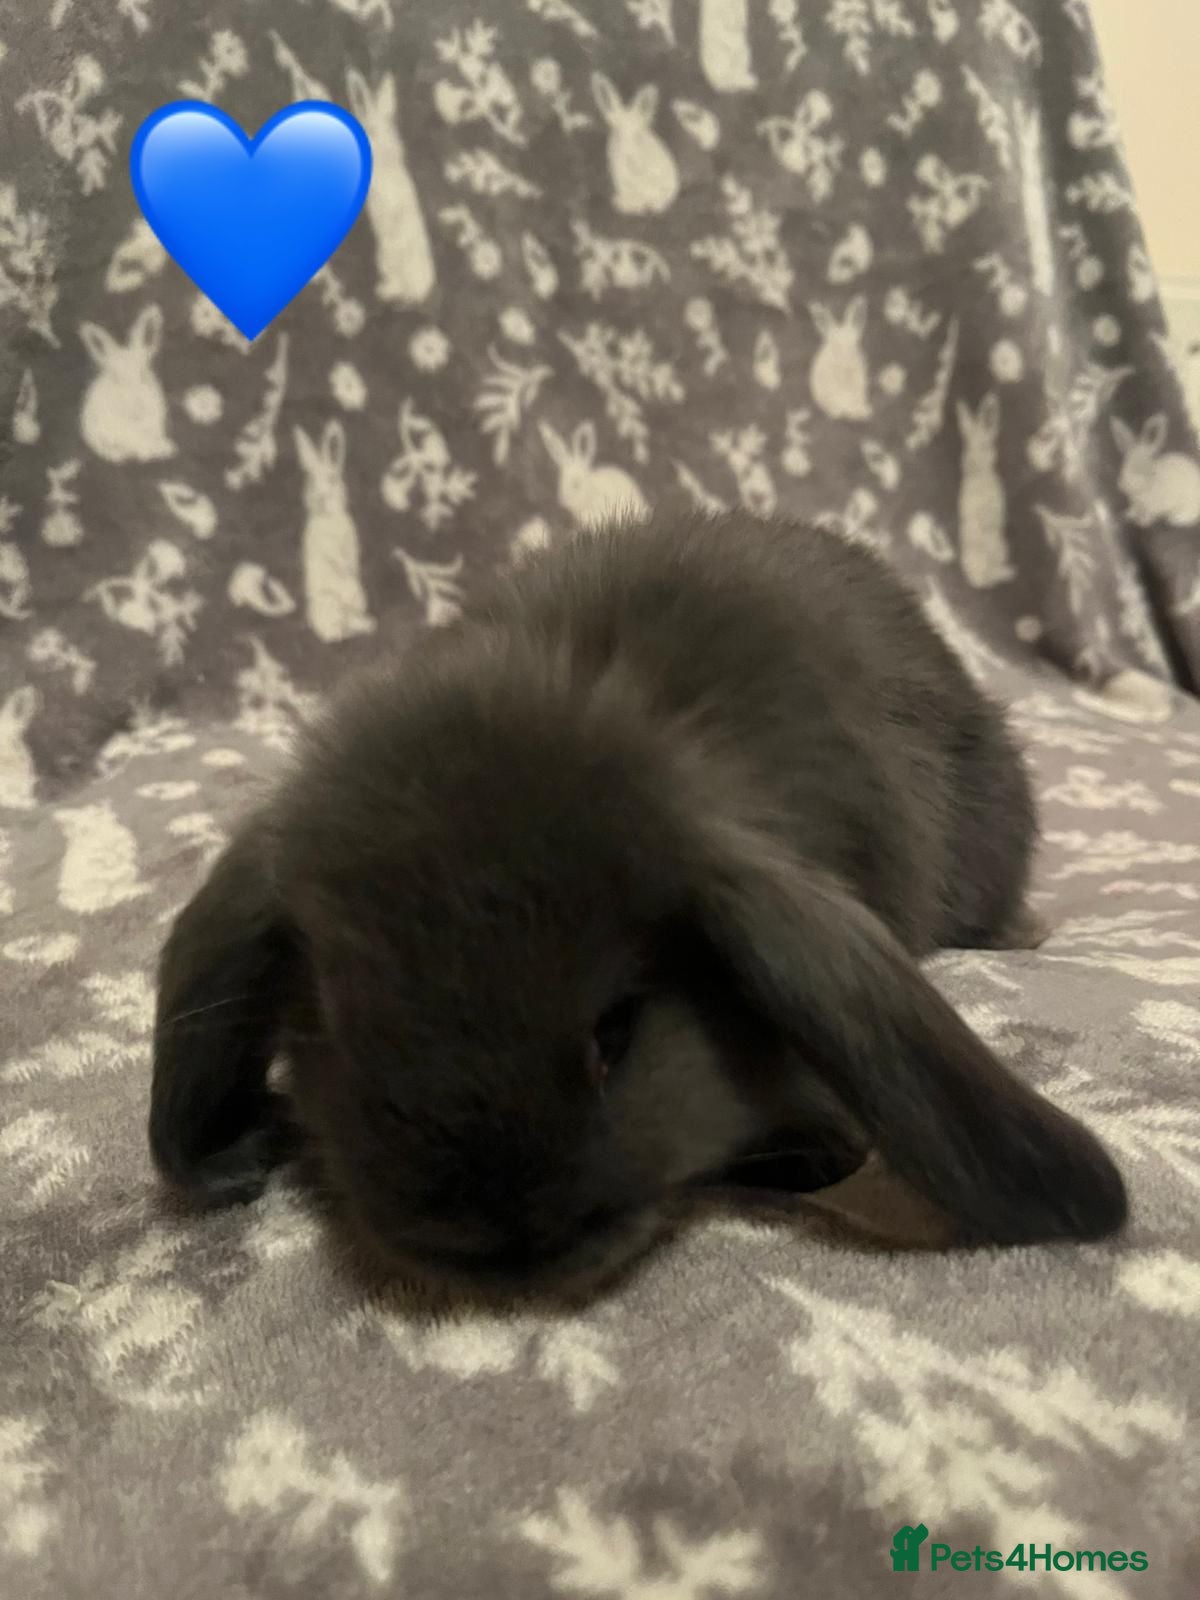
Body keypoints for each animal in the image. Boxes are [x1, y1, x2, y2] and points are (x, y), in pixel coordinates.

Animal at [79, 303, 175, 463]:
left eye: (143, 374)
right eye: (115, 378)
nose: (136, 408)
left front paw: (166, 447)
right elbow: (137, 443)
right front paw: (153, 451)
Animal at [294, 420, 376, 644]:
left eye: (332, 479)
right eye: (310, 481)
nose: (322, 498)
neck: (328, 518)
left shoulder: (350, 543)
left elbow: (349, 560)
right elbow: (332, 558)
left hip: (358, 599)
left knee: (351, 617)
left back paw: (366, 625)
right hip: (329, 605)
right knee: (333, 630)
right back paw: (344, 632)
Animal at [957, 393, 1015, 588]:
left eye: (984, 445)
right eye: (967, 447)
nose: (969, 464)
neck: (980, 473)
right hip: (1000, 548)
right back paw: (1010, 572)